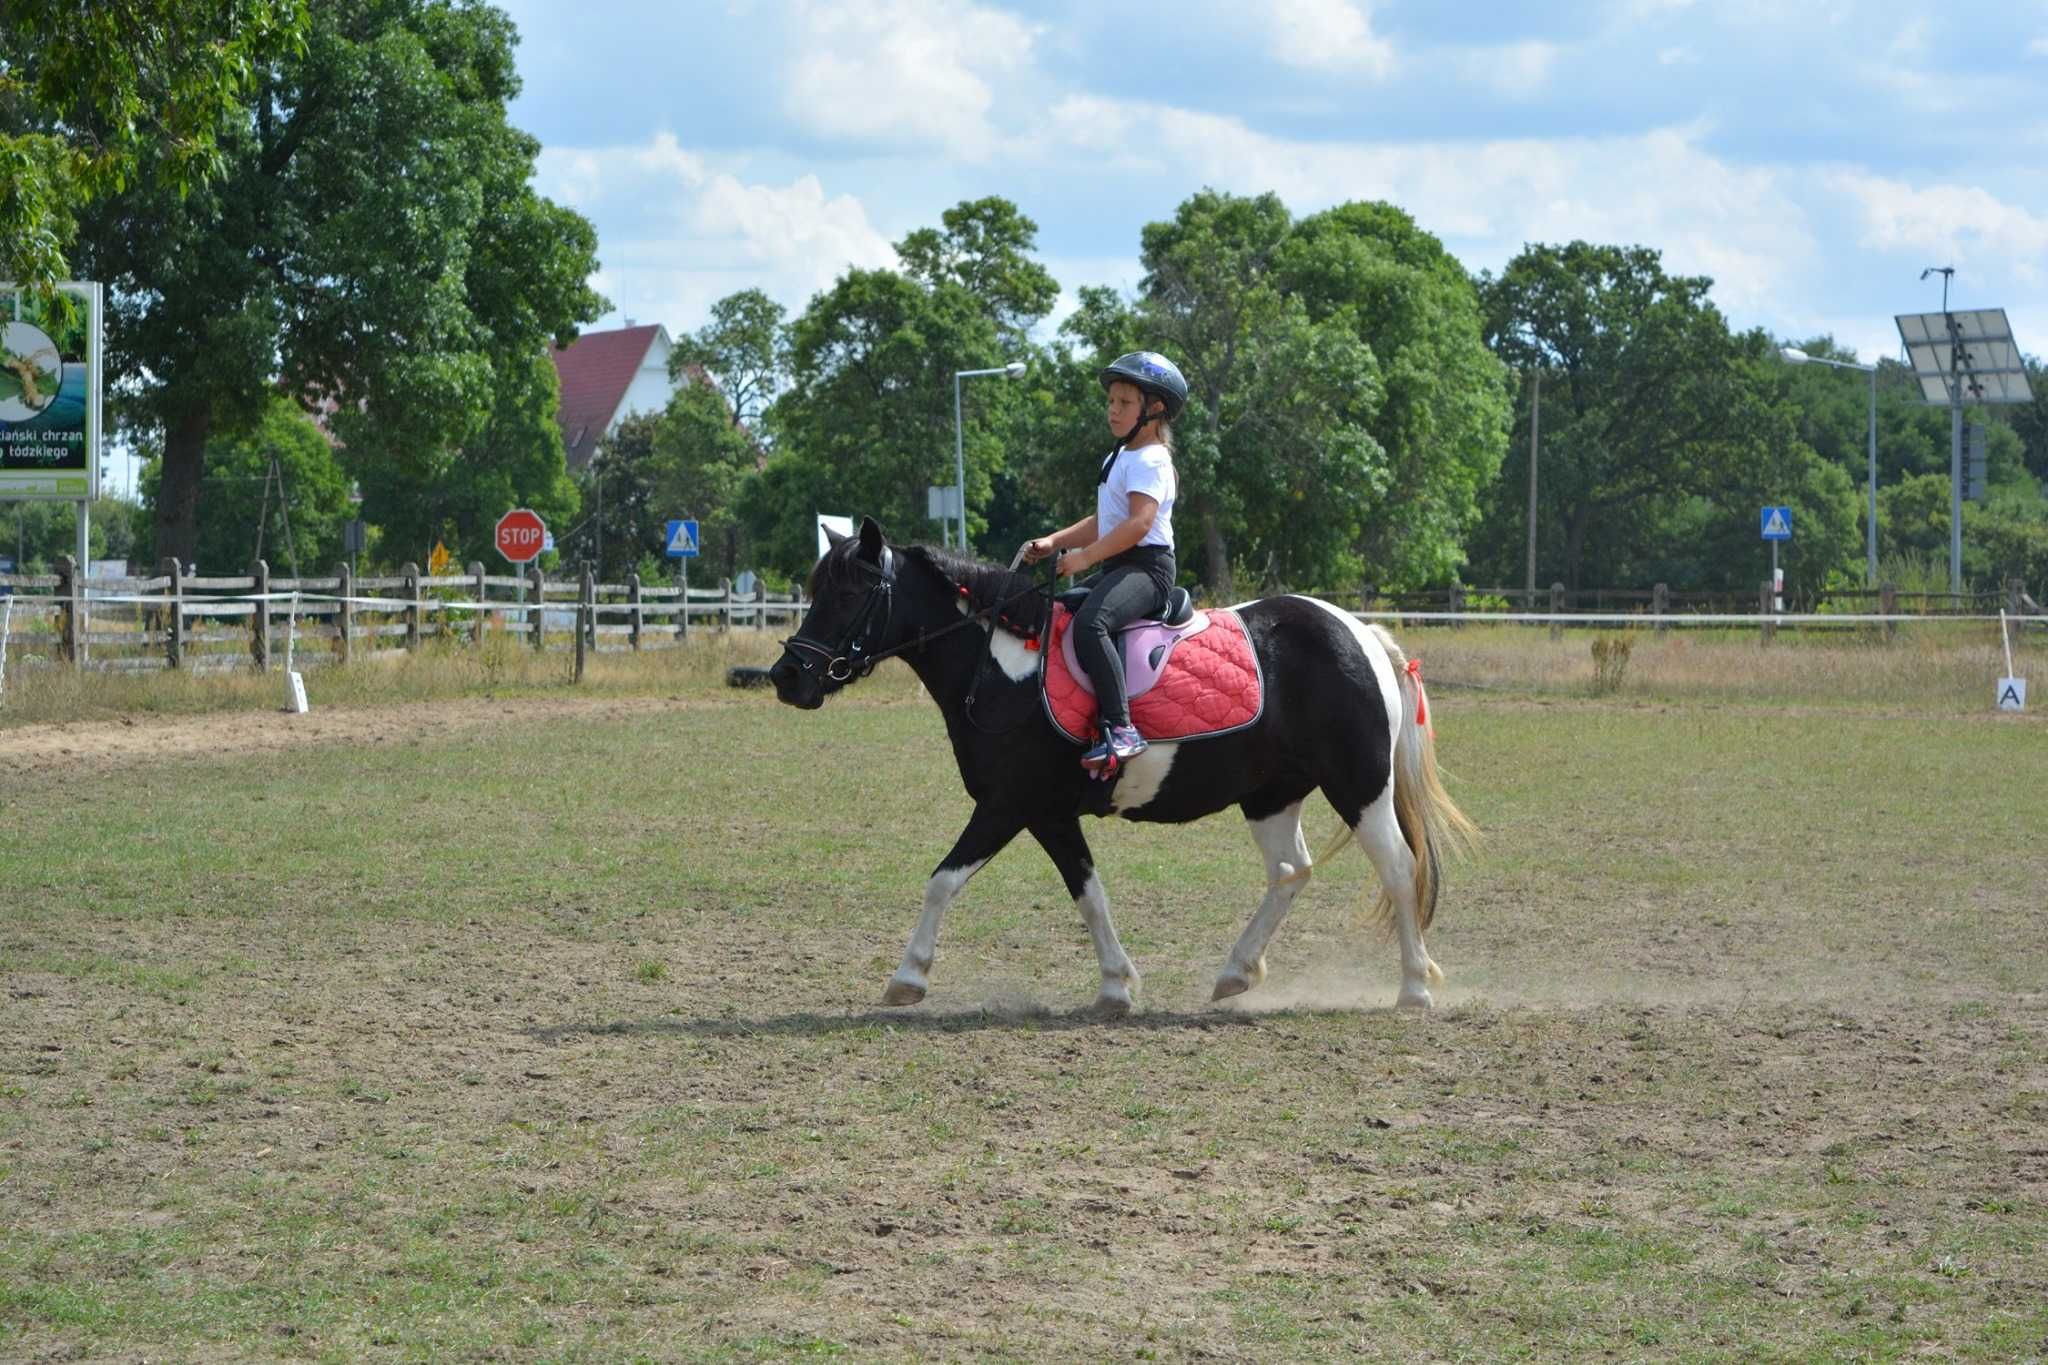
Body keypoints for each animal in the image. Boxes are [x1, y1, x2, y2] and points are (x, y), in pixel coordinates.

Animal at [770, 519, 1474, 1015]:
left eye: (851, 593)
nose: (786, 677)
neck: (1001, 667)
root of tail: (1360, 633)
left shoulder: (1007, 806)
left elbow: (942, 881)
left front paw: (908, 977)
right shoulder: (1048, 814)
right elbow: (1090, 895)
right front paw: (1116, 986)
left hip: (1359, 786)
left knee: (1397, 867)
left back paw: (1414, 988)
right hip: (1271, 794)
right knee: (1289, 873)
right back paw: (1236, 972)